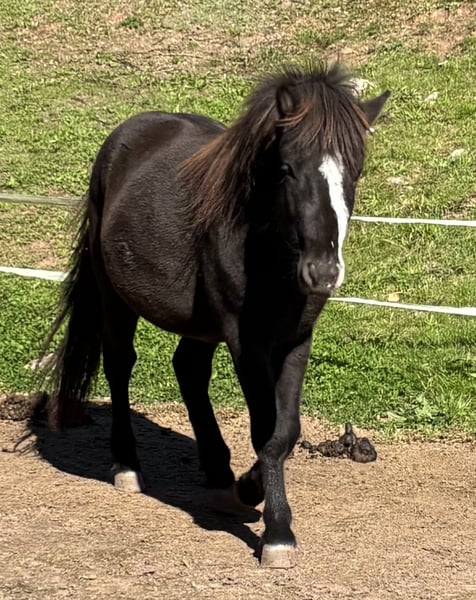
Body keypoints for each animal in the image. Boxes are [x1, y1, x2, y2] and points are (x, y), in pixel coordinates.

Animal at [44, 63, 389, 568]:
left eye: (355, 172)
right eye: (287, 169)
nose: (323, 272)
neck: (268, 253)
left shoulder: (295, 339)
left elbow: (286, 430)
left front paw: (247, 492)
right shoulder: (247, 342)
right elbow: (267, 430)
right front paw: (276, 531)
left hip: (201, 327)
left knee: (188, 370)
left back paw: (220, 474)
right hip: (115, 299)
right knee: (120, 365)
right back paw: (127, 465)